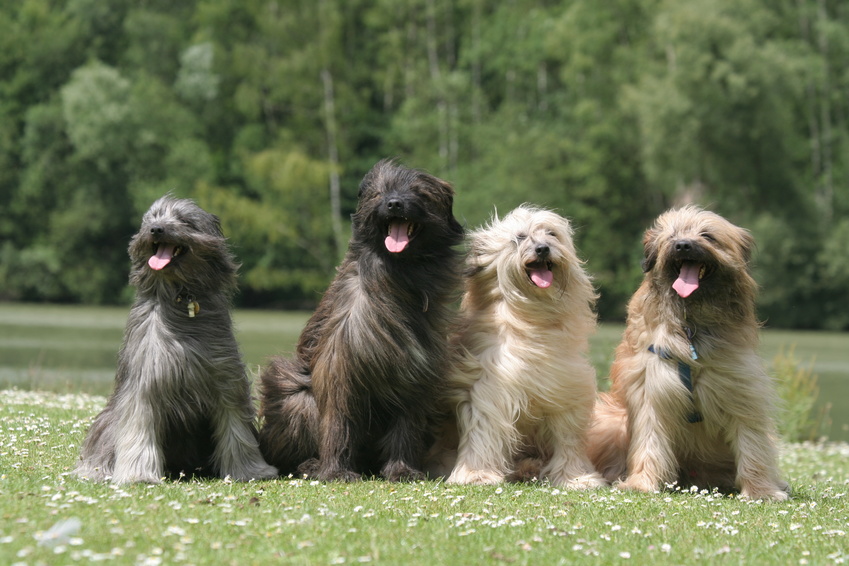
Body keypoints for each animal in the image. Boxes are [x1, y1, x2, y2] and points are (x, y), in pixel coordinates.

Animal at [74, 197, 276, 486]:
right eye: (152, 218)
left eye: (184, 220)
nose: (156, 229)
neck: (181, 297)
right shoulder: (145, 381)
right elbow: (138, 428)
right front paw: (138, 475)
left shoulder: (225, 378)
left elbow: (236, 428)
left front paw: (250, 471)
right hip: (108, 422)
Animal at [258, 160, 464, 484]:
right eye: (379, 192)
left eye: (419, 192)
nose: (394, 203)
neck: (397, 278)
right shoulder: (340, 366)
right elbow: (338, 422)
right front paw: (337, 471)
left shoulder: (415, 375)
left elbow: (406, 426)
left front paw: (402, 469)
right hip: (295, 397)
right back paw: (310, 464)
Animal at [434, 206, 608, 490]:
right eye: (519, 238)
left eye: (551, 233)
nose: (542, 249)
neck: (532, 320)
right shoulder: (489, 389)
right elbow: (484, 430)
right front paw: (477, 474)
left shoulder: (565, 389)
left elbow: (568, 438)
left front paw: (576, 477)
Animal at [584, 206, 788, 504]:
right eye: (672, 236)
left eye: (707, 235)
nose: (682, 245)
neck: (689, 324)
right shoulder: (651, 388)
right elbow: (649, 439)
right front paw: (641, 483)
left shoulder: (740, 388)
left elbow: (751, 442)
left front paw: (761, 490)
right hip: (612, 420)